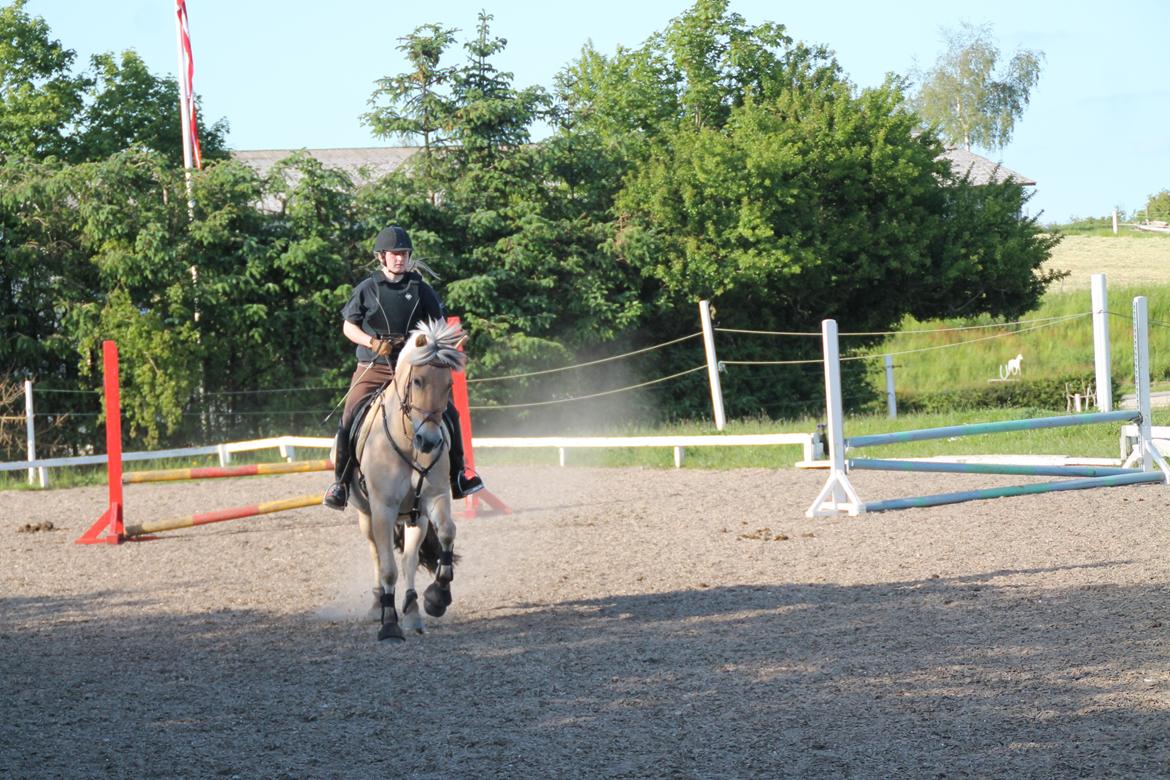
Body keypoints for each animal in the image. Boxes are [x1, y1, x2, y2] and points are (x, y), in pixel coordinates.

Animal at [348, 318, 467, 640]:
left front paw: (438, 596)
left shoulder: (434, 498)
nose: (429, 441)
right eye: (418, 382)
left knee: (408, 560)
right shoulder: (383, 508)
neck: (406, 441)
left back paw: (412, 611)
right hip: (367, 515)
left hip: (415, 517)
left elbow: (448, 532)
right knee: (379, 556)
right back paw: (377, 605)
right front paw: (389, 624)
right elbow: (387, 567)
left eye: (449, 385)